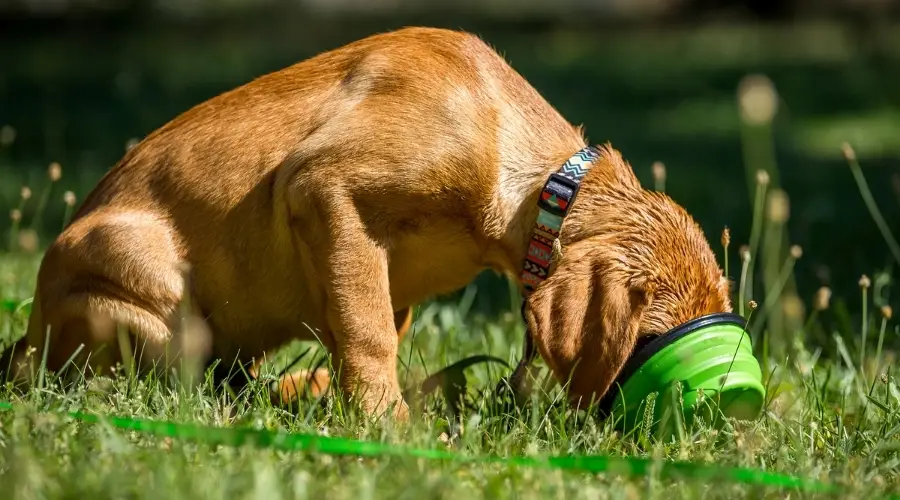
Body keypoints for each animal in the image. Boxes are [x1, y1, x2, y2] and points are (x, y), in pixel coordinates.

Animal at [1, 27, 732, 418]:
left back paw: (296, 391)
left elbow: (367, 323)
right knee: (168, 381)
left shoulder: (381, 273)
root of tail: (25, 346)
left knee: (236, 379)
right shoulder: (325, 188)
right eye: (650, 340)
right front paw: (387, 424)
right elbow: (367, 330)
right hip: (153, 303)